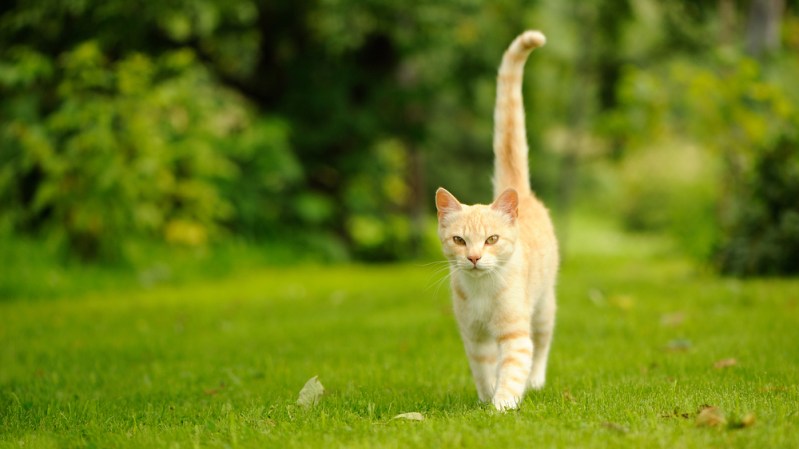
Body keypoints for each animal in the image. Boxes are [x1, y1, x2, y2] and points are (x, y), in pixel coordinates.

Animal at [434, 29, 560, 412]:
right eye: (459, 240)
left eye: (491, 239)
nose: (474, 258)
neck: (481, 292)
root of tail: (521, 191)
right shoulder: (474, 336)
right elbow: (484, 369)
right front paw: (486, 397)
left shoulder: (515, 332)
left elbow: (515, 367)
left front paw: (502, 405)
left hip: (544, 305)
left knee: (542, 344)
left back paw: (537, 381)